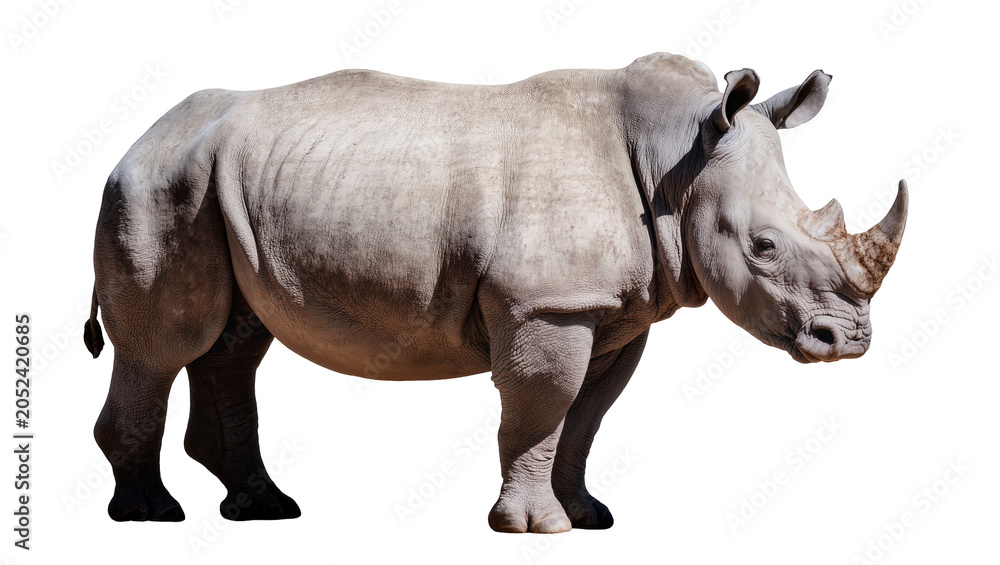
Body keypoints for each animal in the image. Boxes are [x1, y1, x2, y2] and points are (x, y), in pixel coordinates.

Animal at [83, 52, 907, 532]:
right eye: (763, 247)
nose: (850, 341)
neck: (676, 158)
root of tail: (137, 139)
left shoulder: (611, 310)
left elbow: (585, 418)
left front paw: (588, 516)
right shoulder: (546, 304)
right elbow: (541, 408)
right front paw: (533, 528)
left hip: (215, 183)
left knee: (233, 344)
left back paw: (265, 510)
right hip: (156, 185)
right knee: (163, 347)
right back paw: (151, 515)